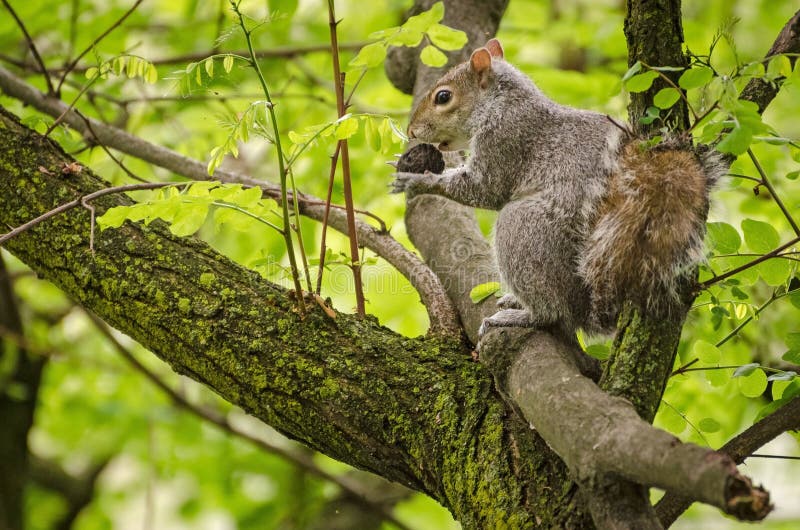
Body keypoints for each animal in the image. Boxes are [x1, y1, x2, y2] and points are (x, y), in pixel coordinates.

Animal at [393, 38, 722, 336]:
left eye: (443, 97)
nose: (411, 130)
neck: (502, 102)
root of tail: (587, 313)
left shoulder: (507, 138)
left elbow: (486, 189)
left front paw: (418, 180)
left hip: (524, 228)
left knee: (552, 312)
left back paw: (522, 315)